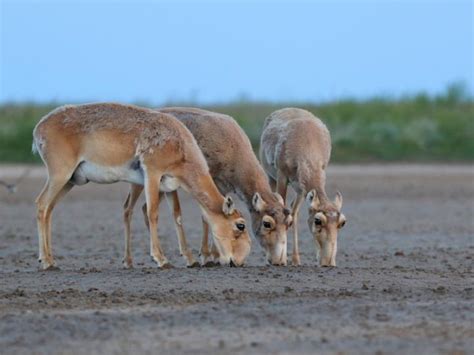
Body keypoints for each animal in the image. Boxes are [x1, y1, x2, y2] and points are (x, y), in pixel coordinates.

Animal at [32, 103, 252, 270]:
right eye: (240, 224)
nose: (239, 261)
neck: (179, 144)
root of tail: (39, 127)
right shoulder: (153, 174)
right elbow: (152, 213)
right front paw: (161, 259)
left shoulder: (169, 185)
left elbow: (177, 216)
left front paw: (191, 259)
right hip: (60, 174)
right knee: (41, 204)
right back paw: (47, 262)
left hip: (70, 181)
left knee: (50, 209)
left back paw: (51, 259)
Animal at [122, 107, 292, 268]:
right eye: (267, 223)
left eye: (289, 222)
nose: (279, 261)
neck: (231, 145)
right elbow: (206, 217)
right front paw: (207, 257)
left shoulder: (223, 189)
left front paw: (216, 256)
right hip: (140, 181)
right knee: (128, 209)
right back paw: (129, 261)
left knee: (144, 208)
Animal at [260, 108, 344, 268]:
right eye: (318, 220)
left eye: (342, 222)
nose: (328, 262)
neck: (307, 141)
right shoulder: (281, 177)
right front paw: (281, 259)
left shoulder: (304, 187)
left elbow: (292, 216)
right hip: (271, 177)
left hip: (299, 189)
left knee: (294, 212)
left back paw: (295, 259)